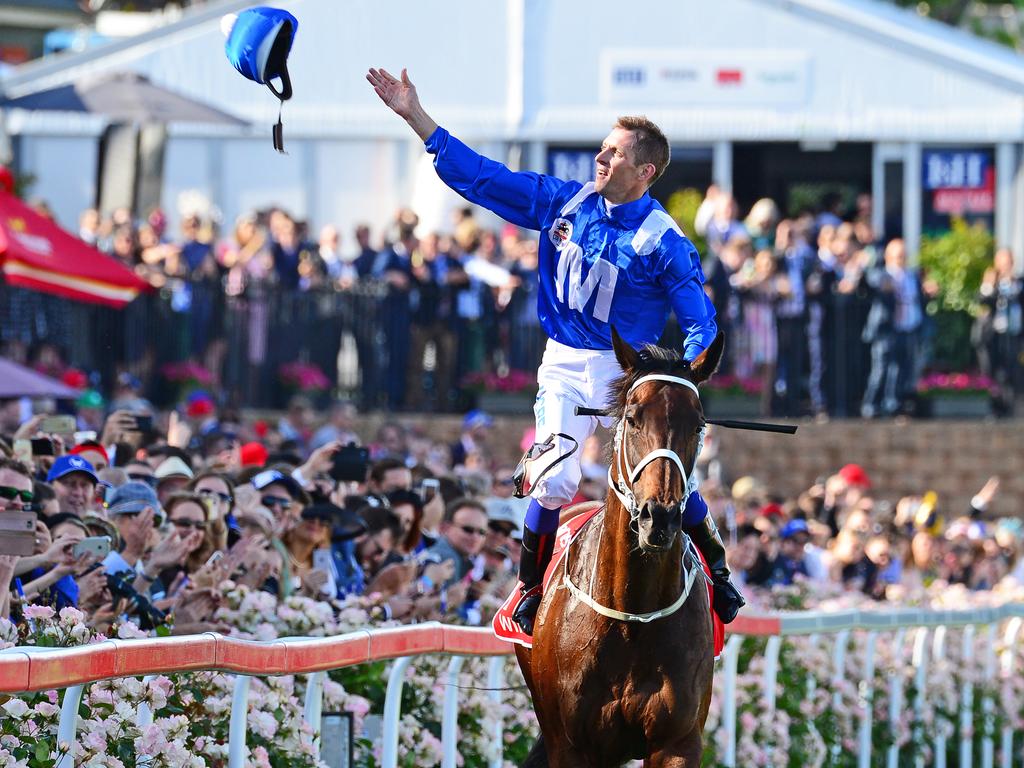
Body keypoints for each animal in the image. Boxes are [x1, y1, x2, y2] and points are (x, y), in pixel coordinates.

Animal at [512, 329, 720, 768]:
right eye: (632, 418)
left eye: (698, 425)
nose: (658, 517)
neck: (632, 614)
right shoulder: (571, 745)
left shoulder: (678, 742)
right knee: (554, 475)